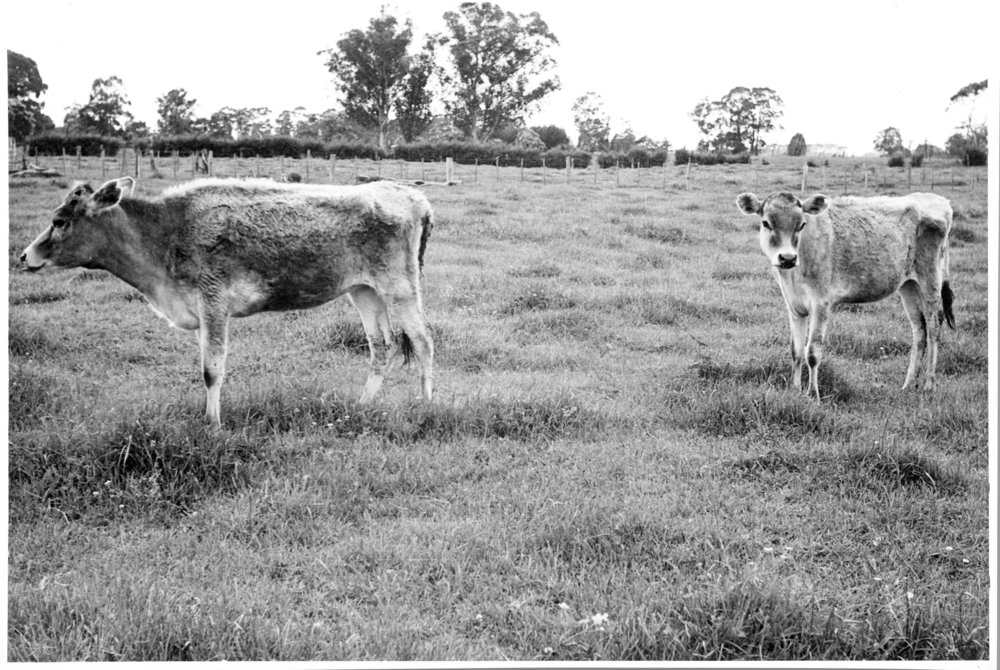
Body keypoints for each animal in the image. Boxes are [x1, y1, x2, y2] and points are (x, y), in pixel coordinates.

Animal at [20, 177, 435, 427]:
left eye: (60, 221)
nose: (25, 255)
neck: (163, 236)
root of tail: (410, 194)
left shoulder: (213, 302)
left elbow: (212, 370)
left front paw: (214, 425)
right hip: (364, 290)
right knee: (381, 346)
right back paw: (360, 407)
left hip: (400, 286)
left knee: (423, 342)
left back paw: (426, 407)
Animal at [735, 191, 954, 400]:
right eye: (766, 223)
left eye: (801, 225)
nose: (787, 258)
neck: (793, 275)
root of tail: (939, 200)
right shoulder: (794, 306)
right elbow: (796, 351)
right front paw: (794, 390)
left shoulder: (821, 303)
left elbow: (812, 352)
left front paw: (813, 395)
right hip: (908, 285)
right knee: (919, 329)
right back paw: (908, 385)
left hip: (930, 279)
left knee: (934, 326)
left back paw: (929, 384)